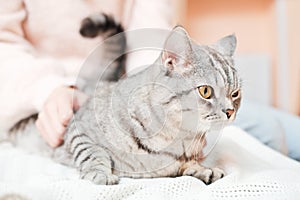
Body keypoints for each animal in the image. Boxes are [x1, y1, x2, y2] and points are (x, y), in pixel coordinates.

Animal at [7, 13, 241, 186]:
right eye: (205, 91)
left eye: (235, 93)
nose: (230, 111)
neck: (175, 137)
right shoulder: (78, 129)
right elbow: (92, 153)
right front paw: (100, 173)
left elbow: (187, 165)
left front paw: (202, 169)